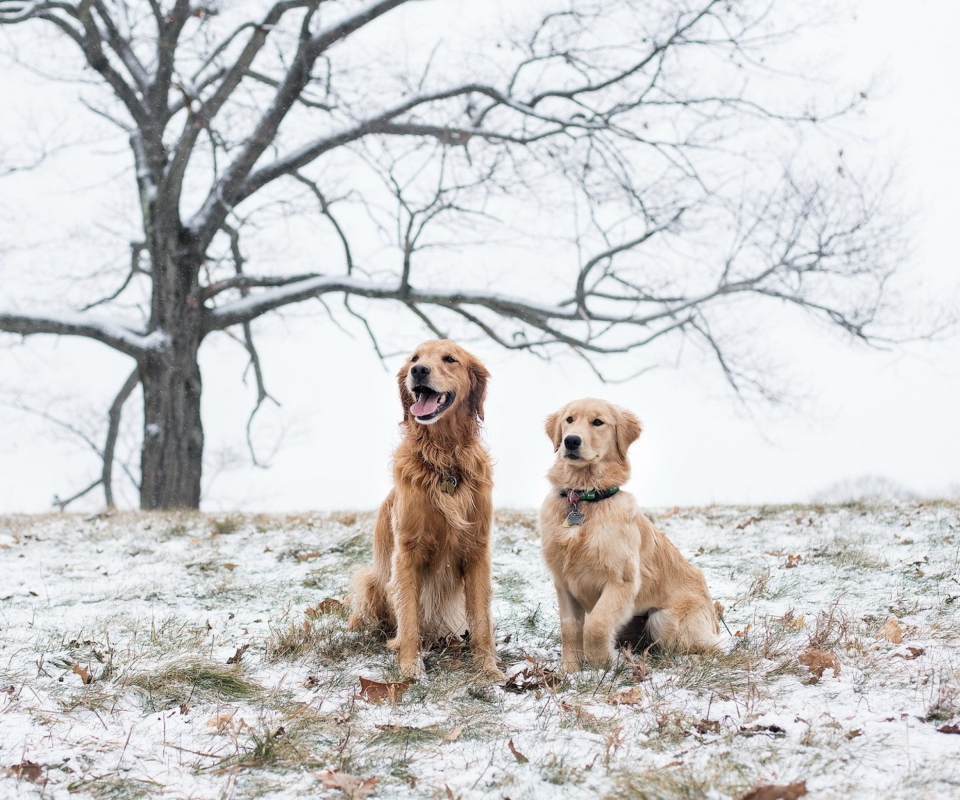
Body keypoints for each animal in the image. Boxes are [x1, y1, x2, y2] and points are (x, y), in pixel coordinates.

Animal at [352, 340, 502, 680]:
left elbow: (481, 620)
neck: (444, 459)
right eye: (414, 359)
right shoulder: (407, 551)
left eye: (450, 359)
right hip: (370, 581)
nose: (418, 371)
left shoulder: (478, 549)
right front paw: (411, 667)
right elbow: (408, 617)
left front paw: (488, 668)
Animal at [536, 398, 716, 668]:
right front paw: (570, 670)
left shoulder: (621, 582)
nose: (571, 441)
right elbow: (570, 628)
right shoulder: (563, 583)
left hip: (663, 619)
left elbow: (596, 624)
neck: (585, 498)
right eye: (569, 419)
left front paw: (602, 665)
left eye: (598, 422)